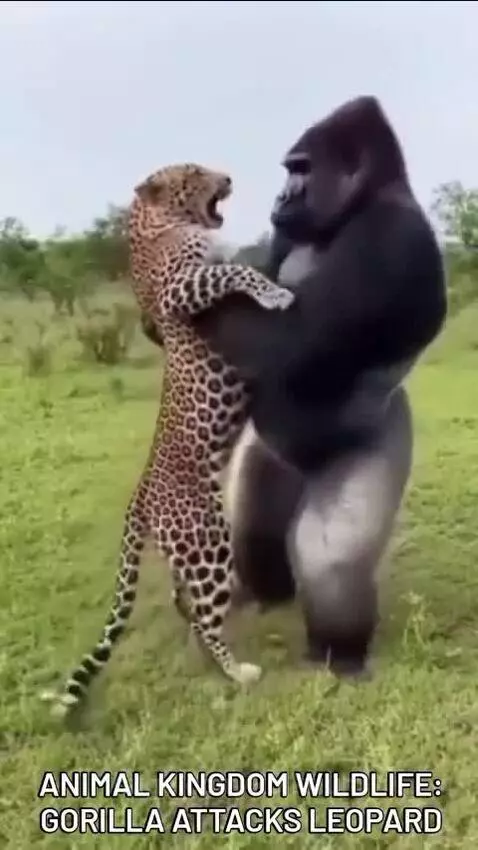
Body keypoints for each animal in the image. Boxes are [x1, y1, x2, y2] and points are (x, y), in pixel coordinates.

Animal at [41, 163, 294, 717]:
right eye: (194, 173)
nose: (227, 176)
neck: (156, 223)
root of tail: (139, 498)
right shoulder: (184, 286)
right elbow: (236, 272)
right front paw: (276, 293)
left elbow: (237, 261)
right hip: (207, 542)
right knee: (204, 615)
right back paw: (239, 671)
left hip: (192, 551)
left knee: (190, 606)